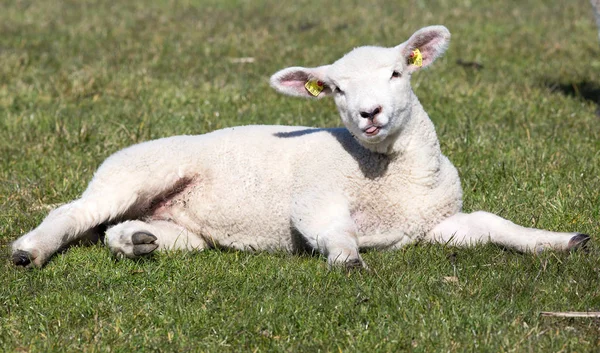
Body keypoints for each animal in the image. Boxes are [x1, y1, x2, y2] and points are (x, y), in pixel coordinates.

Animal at [10, 25, 592, 266]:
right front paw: (348, 260)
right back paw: (29, 251)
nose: (369, 113)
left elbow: (493, 224)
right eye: (334, 89)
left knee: (120, 231)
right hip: (134, 173)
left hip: (178, 220)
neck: (389, 176)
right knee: (73, 213)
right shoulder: (314, 198)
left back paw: (139, 241)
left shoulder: (435, 224)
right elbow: (332, 229)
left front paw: (561, 242)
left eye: (397, 72)